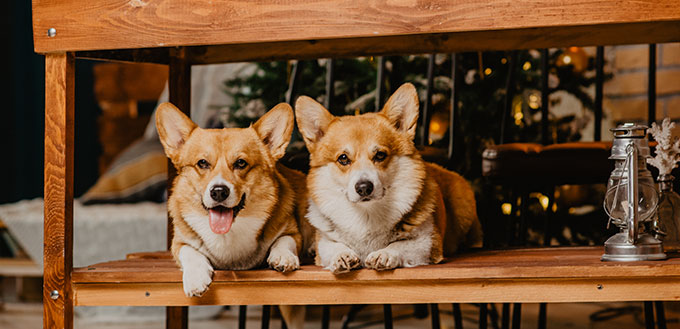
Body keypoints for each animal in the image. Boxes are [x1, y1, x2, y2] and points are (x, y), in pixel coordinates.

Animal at [156, 101, 310, 296]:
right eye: (202, 163)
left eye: (241, 163)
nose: (219, 191)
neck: (228, 235)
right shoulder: (179, 243)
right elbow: (190, 253)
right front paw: (196, 278)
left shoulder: (292, 232)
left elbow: (284, 240)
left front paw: (283, 257)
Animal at [294, 83, 480, 272]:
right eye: (343, 158)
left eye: (380, 155)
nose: (364, 188)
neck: (368, 215)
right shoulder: (324, 243)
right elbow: (333, 246)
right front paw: (342, 255)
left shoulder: (428, 242)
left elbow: (400, 245)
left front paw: (384, 254)